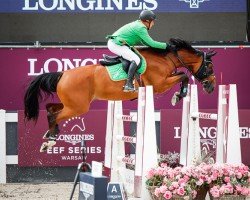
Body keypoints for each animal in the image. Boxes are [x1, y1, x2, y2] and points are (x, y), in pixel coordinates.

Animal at [23, 38, 217, 152]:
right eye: (209, 66)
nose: (211, 87)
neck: (164, 59)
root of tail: (63, 74)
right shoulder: (159, 85)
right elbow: (183, 76)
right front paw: (178, 95)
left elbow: (182, 75)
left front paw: (179, 94)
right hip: (78, 107)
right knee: (54, 115)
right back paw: (50, 140)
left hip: (72, 104)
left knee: (50, 108)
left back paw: (51, 135)